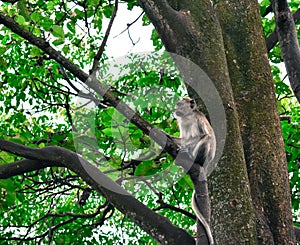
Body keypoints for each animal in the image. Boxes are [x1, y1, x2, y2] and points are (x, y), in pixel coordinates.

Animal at [173, 97, 216, 245]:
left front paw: (184, 147)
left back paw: (191, 156)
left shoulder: (197, 117)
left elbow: (204, 134)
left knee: (206, 138)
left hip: (203, 157)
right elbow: (182, 137)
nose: (175, 109)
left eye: (179, 104)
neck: (187, 117)